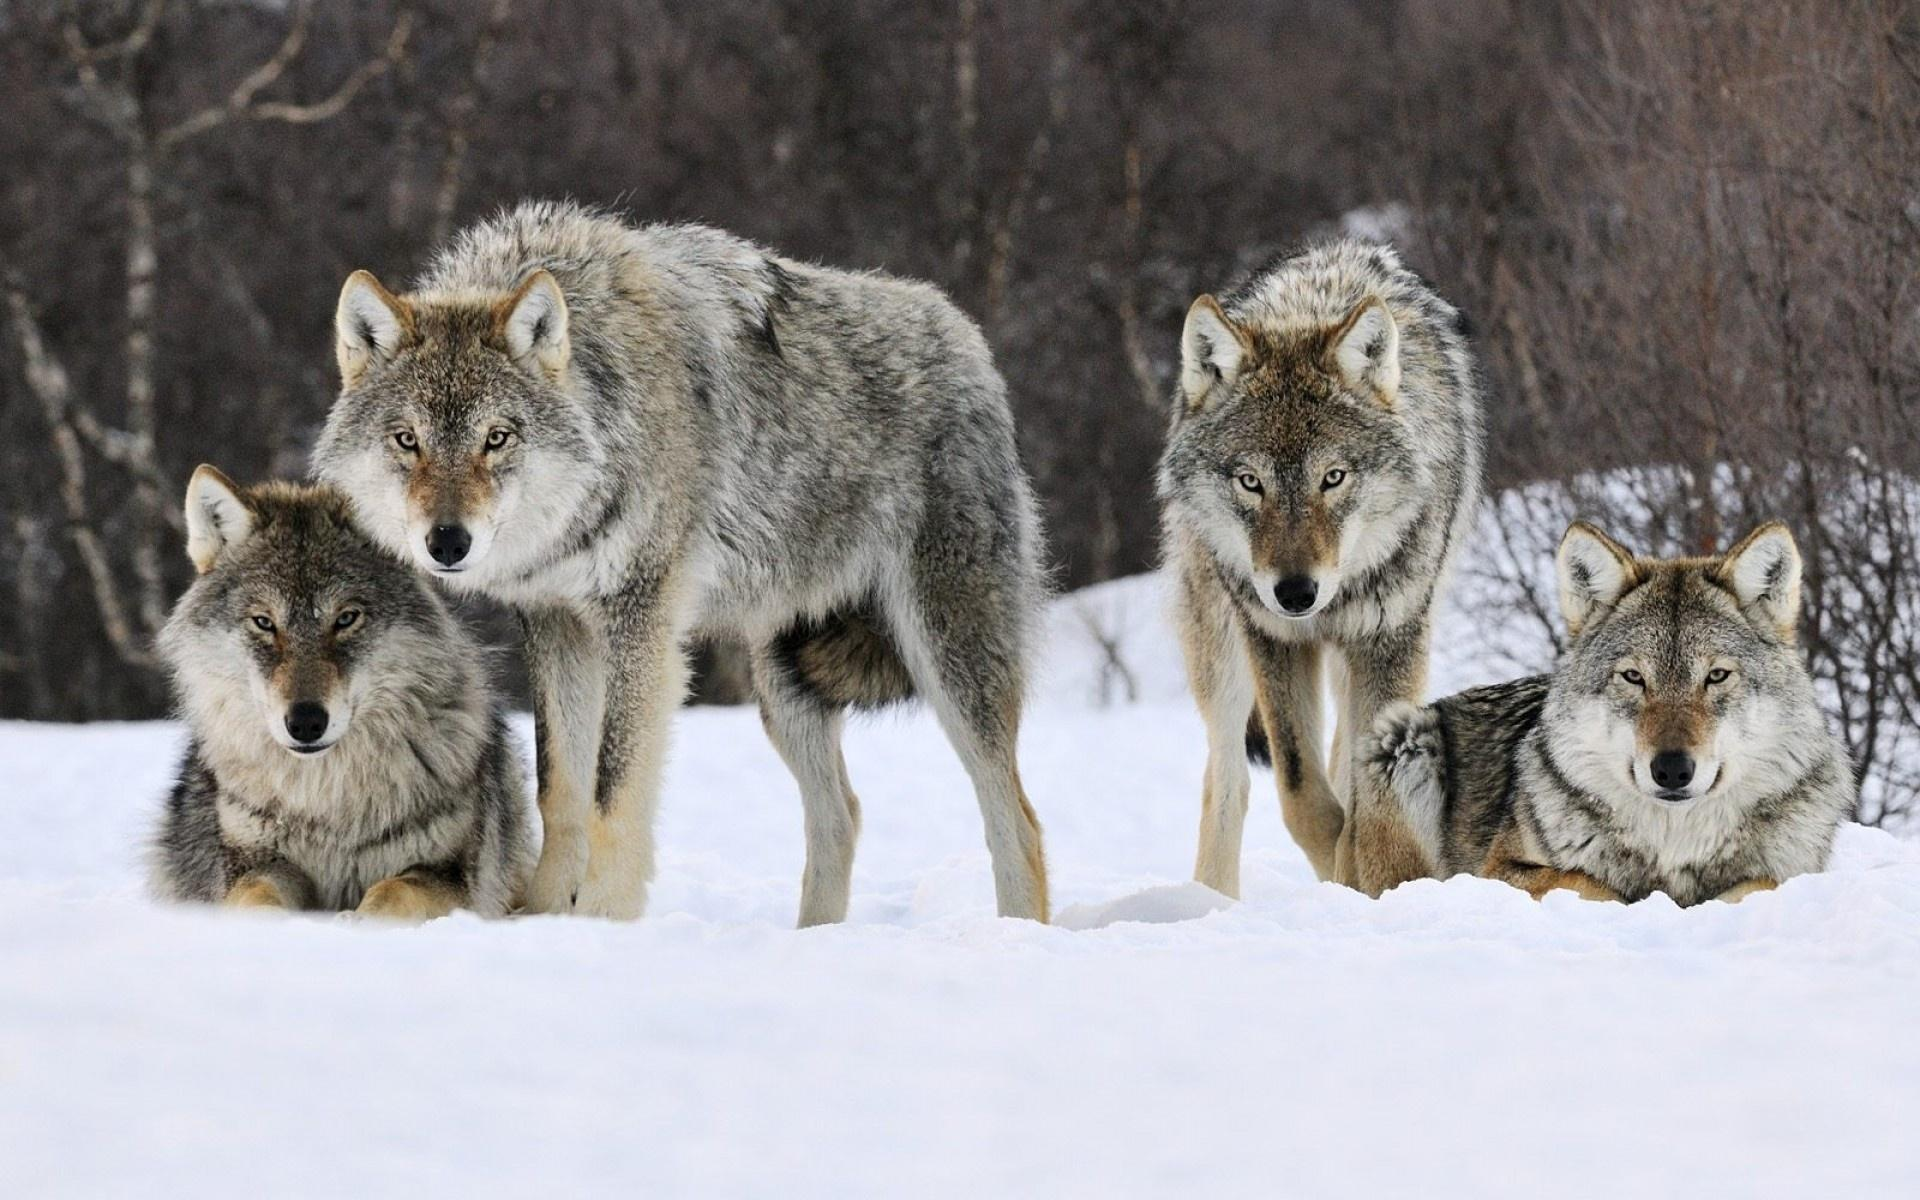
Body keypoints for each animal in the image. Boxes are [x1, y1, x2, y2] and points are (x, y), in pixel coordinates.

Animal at [147, 468, 533, 917]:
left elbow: (392, 892)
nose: (305, 722)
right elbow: (256, 898)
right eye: (264, 622)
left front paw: (357, 921)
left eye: (346, 618)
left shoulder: (447, 873)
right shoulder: (255, 863)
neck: (327, 802)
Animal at [311, 201, 1052, 921]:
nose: (447, 542)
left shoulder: (642, 622)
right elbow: (560, 789)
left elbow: (612, 792)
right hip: (784, 685)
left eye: (497, 438)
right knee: (841, 814)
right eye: (407, 440)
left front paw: (601, 921)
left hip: (948, 660)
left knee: (1017, 818)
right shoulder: (557, 624)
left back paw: (1015, 932)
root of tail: (968, 340)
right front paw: (544, 917)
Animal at [1152, 239, 1482, 894]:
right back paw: (1210, 900)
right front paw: (1341, 871)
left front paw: (1369, 878)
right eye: (1250, 482)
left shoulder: (1391, 638)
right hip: (1221, 647)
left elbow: (1366, 794)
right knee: (1227, 779)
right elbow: (1301, 792)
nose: (1296, 593)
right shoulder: (1274, 638)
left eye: (1333, 477)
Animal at [1359, 518, 1850, 902]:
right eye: (1633, 677)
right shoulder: (1498, 869)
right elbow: (1590, 883)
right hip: (1403, 738)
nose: (1672, 769)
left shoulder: (1792, 872)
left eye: (1716, 676)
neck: (1674, 845)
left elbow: (1761, 883)